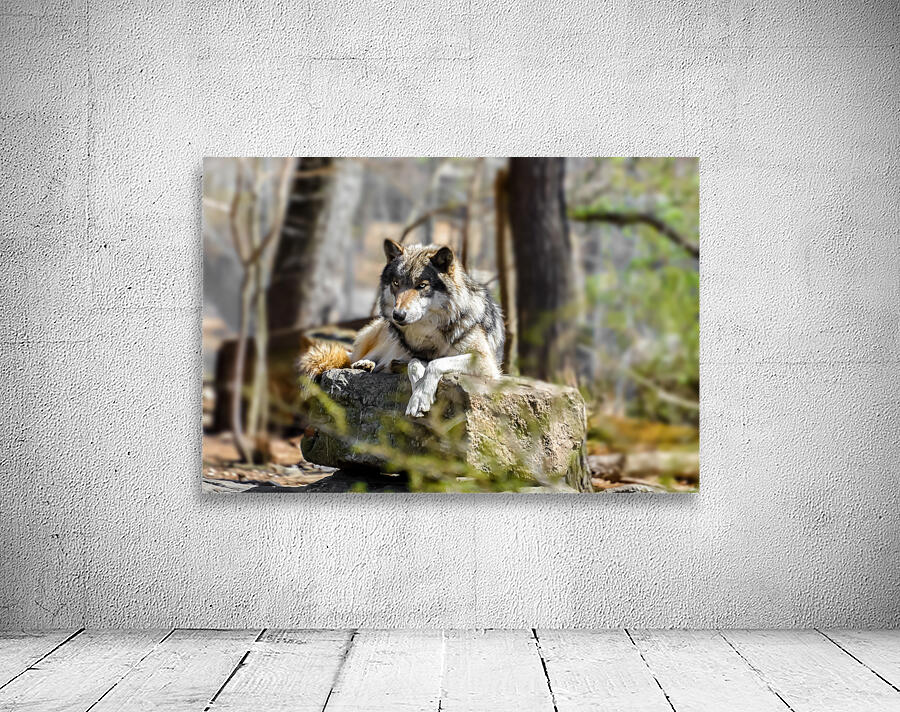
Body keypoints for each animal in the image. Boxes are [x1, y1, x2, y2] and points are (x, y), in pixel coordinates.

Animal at [300, 239, 504, 417]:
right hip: (385, 337)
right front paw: (418, 392)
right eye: (396, 283)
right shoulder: (412, 354)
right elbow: (414, 365)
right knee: (353, 358)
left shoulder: (485, 363)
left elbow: (436, 363)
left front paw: (421, 394)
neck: (430, 330)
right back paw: (365, 364)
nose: (398, 315)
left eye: (422, 285)